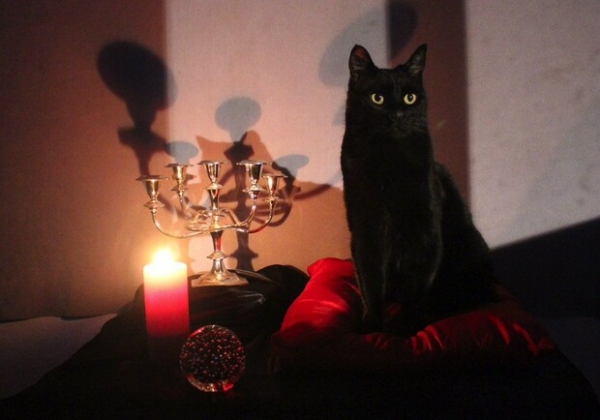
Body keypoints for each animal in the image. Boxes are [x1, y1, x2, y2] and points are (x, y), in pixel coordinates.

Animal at [341, 44, 498, 335]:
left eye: (410, 98)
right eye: (378, 98)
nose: (398, 115)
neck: (389, 161)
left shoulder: (424, 229)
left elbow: (415, 284)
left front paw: (406, 327)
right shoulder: (364, 229)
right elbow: (369, 279)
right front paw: (371, 326)